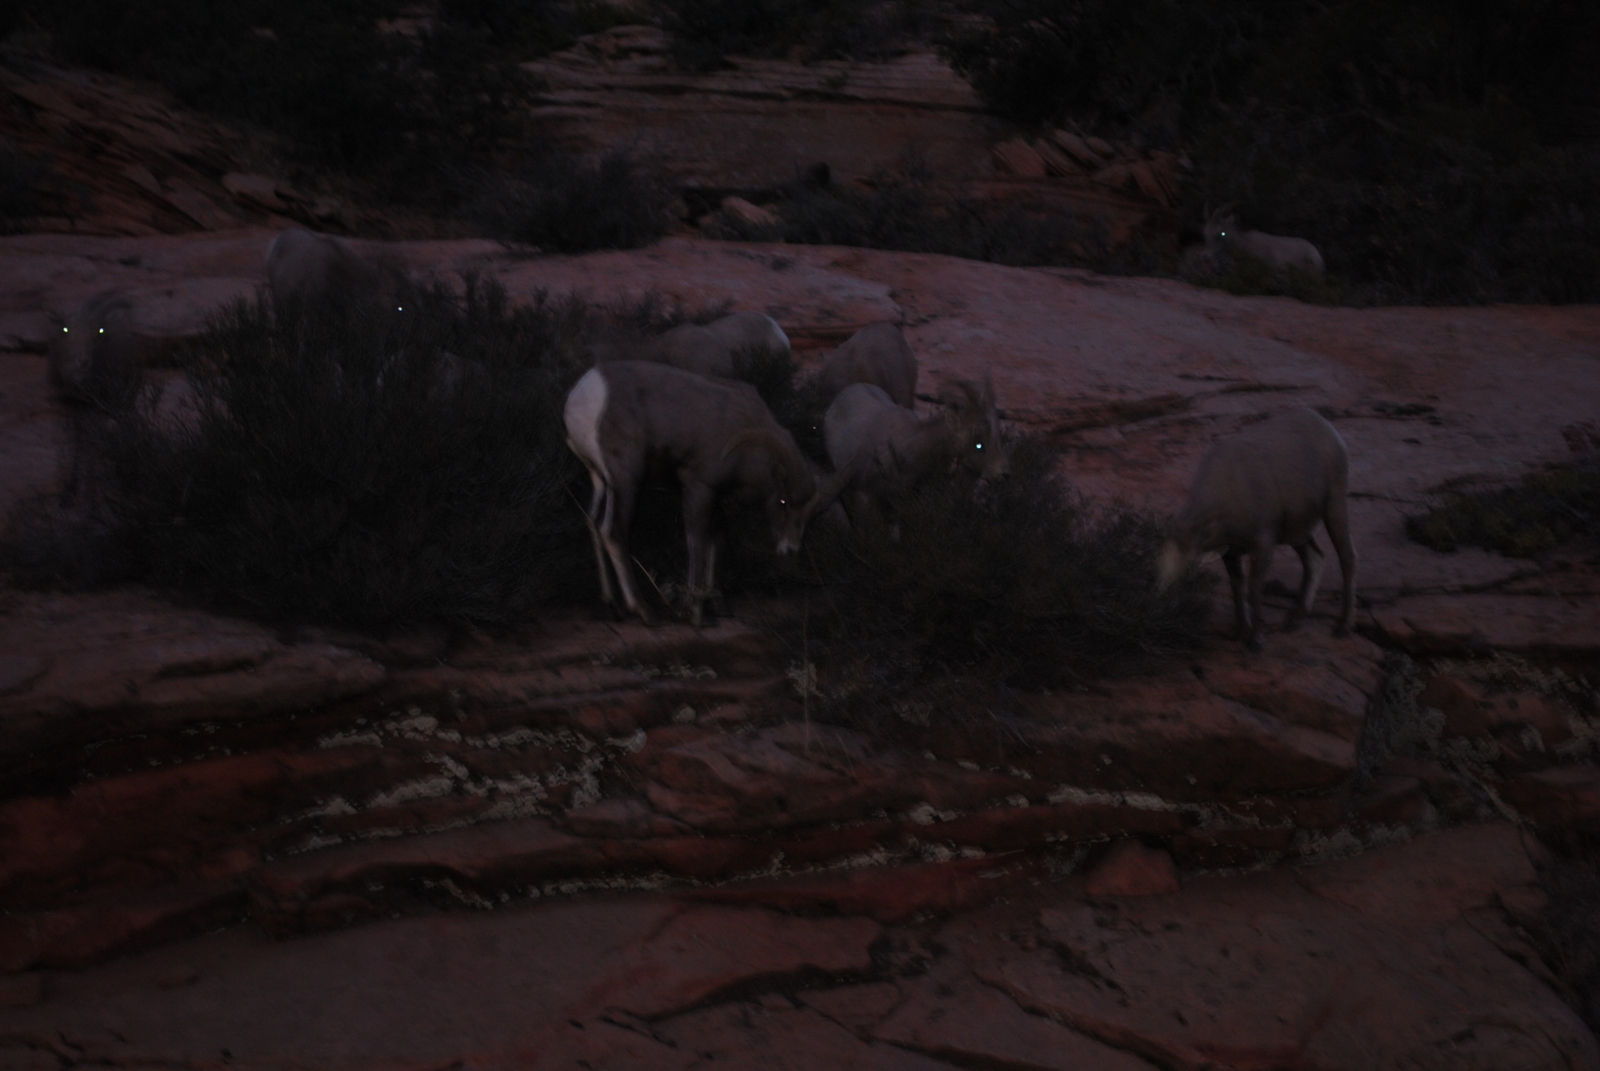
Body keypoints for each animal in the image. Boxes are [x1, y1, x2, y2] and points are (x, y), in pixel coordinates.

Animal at [563, 359, 839, 626]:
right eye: (783, 502)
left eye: (809, 514)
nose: (789, 550)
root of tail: (583, 397)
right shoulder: (698, 489)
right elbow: (697, 543)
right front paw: (695, 611)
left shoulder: (714, 496)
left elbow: (717, 538)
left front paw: (719, 606)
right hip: (626, 480)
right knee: (613, 532)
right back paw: (645, 612)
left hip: (601, 480)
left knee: (593, 523)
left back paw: (612, 607)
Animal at [1157, 408, 1357, 650]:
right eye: (1159, 565)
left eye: (1187, 570)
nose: (1164, 603)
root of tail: (1328, 428)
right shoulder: (1231, 552)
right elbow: (1237, 587)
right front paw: (1241, 632)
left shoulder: (1263, 544)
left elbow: (1254, 588)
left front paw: (1256, 640)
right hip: (1298, 531)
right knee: (1314, 558)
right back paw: (1293, 620)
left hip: (1334, 507)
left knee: (1347, 558)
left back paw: (1342, 627)